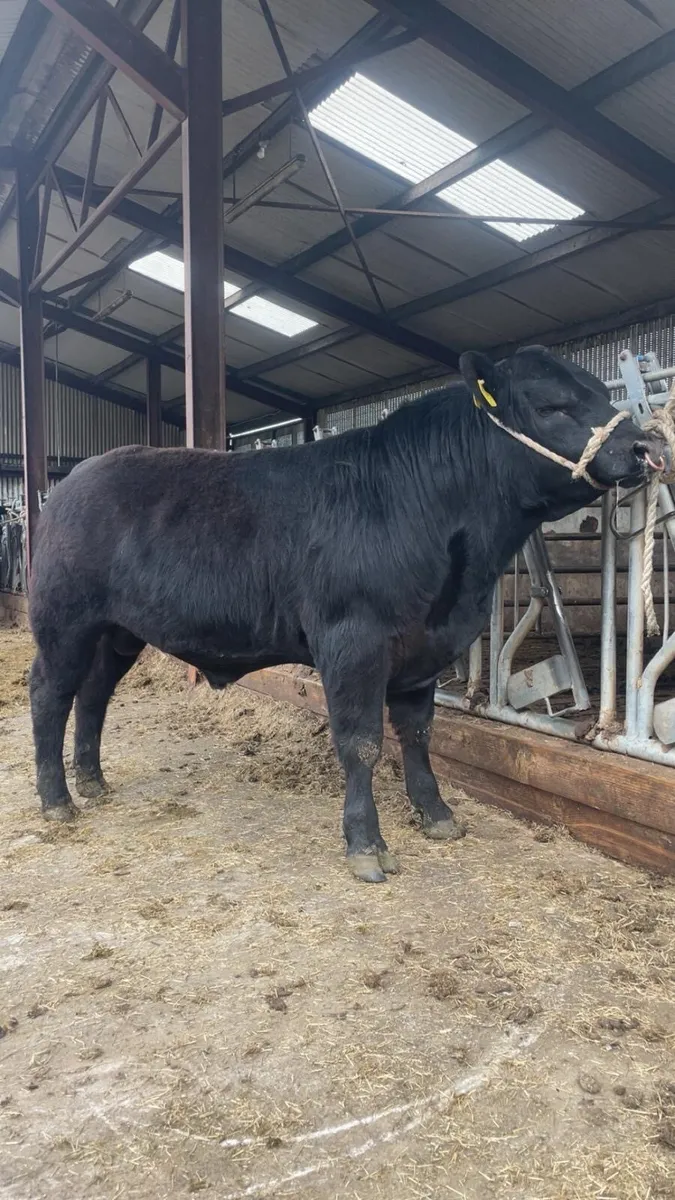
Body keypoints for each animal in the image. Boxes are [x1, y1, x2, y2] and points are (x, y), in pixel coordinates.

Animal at [27, 346, 667, 882]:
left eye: (598, 390)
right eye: (551, 404)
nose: (647, 447)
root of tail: (72, 480)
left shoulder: (423, 647)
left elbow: (417, 733)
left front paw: (437, 814)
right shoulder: (352, 639)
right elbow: (360, 741)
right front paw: (366, 845)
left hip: (117, 632)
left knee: (94, 694)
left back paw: (93, 781)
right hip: (64, 622)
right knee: (50, 694)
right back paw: (58, 801)